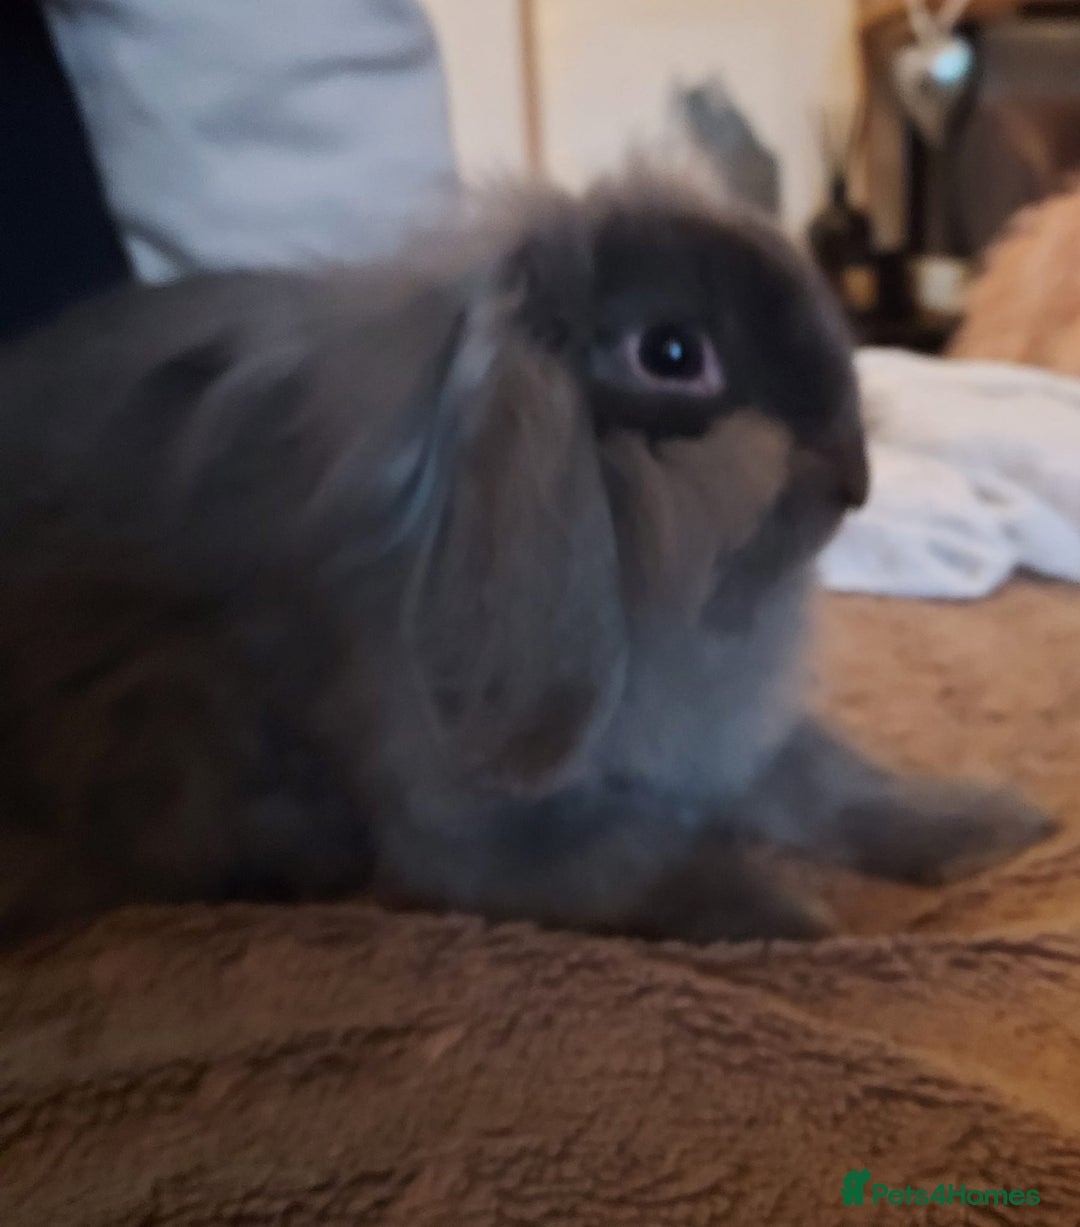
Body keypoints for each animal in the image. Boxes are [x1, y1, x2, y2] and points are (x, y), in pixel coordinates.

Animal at [0, 169, 1055, 945]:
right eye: (673, 353)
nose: (855, 475)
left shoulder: (723, 744)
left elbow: (831, 784)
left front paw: (997, 826)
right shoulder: (476, 836)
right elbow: (634, 859)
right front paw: (787, 912)